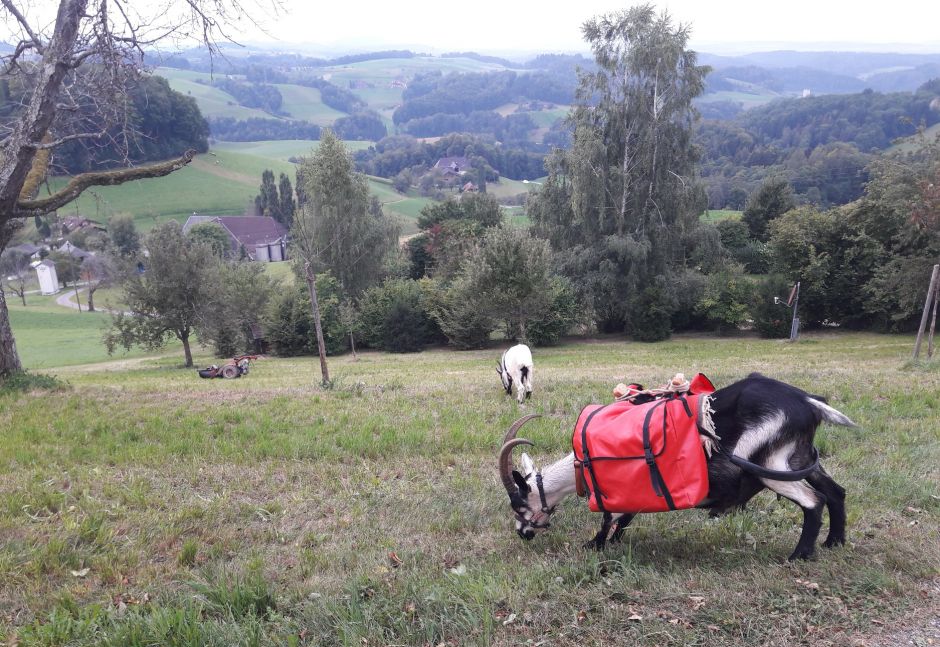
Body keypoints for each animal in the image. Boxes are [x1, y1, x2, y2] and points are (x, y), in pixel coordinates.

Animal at [500, 374, 860, 560]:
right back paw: (833, 543)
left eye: (518, 505)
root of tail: (808, 402)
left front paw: (595, 545)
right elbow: (626, 517)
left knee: (813, 501)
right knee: (836, 493)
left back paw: (799, 556)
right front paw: (613, 542)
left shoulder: (612, 490)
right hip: (800, 459)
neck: (581, 463)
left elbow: (608, 518)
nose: (522, 534)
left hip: (768, 465)